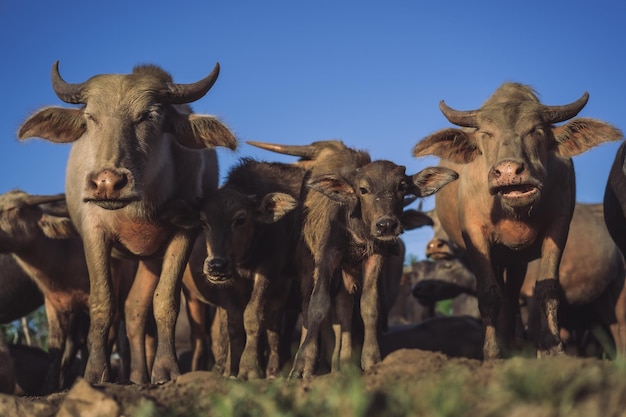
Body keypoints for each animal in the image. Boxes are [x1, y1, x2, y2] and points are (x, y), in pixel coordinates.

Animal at [17, 61, 236, 384]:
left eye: (149, 116)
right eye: (91, 116)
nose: (107, 183)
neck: (138, 207)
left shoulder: (185, 231)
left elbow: (165, 301)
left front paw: (166, 369)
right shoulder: (93, 233)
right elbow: (102, 303)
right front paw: (95, 372)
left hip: (149, 259)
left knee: (135, 312)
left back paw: (139, 375)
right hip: (122, 260)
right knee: (120, 313)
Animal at [412, 83, 620, 360]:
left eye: (536, 130)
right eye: (486, 134)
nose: (509, 171)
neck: (512, 212)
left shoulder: (558, 227)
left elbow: (547, 288)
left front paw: (552, 348)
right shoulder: (474, 235)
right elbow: (489, 294)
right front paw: (492, 352)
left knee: (511, 298)